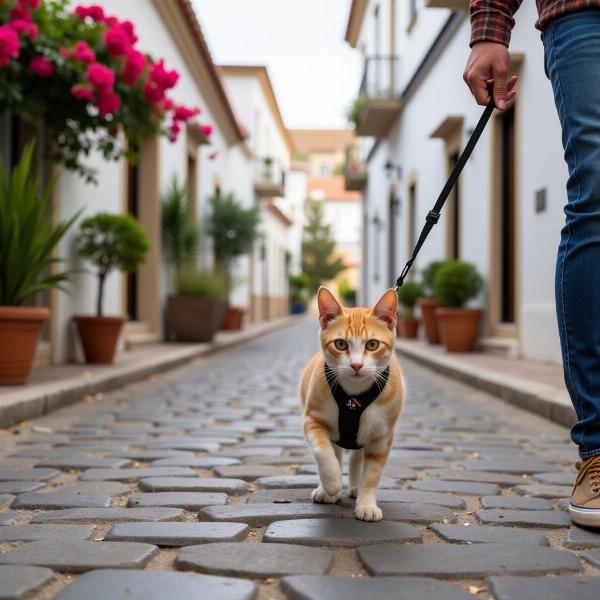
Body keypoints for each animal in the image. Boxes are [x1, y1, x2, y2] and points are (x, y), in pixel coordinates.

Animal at [298, 286, 404, 520]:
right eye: (340, 344)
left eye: (372, 344)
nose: (356, 365)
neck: (353, 395)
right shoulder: (312, 419)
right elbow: (323, 450)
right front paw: (331, 482)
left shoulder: (382, 435)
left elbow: (372, 474)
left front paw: (366, 504)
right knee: (337, 450)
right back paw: (329, 489)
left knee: (357, 456)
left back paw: (355, 486)